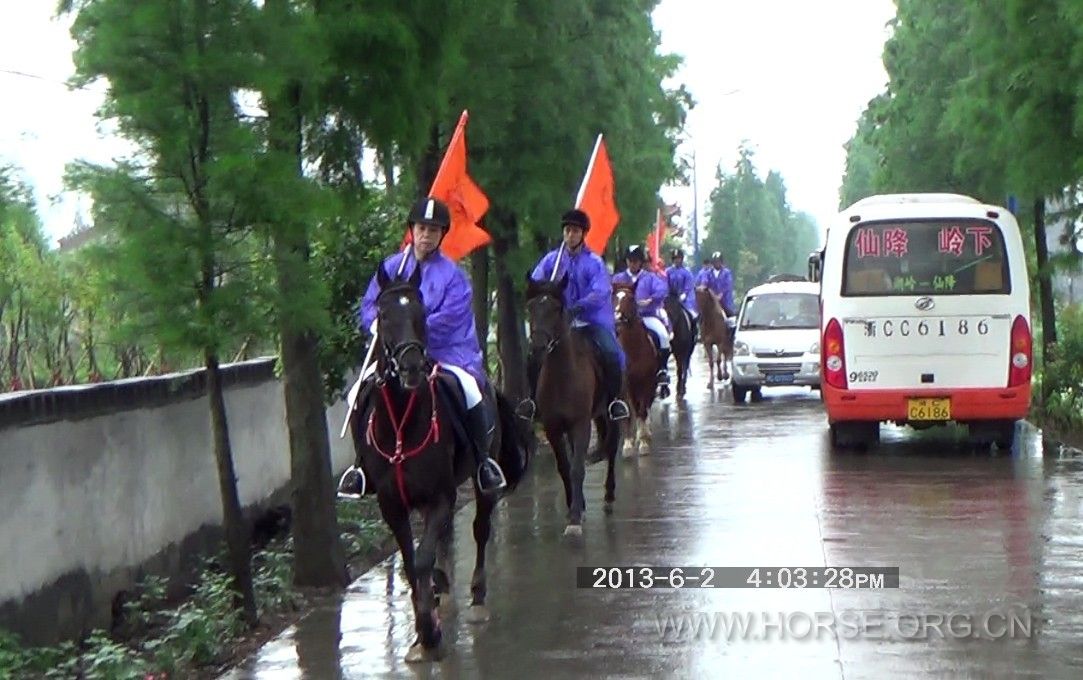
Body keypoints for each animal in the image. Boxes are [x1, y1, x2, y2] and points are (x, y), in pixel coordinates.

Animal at [346, 263, 528, 662]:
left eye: (421, 312)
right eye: (383, 315)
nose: (412, 367)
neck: (401, 424)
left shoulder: (441, 496)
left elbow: (423, 558)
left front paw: (429, 633)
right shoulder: (392, 504)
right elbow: (412, 562)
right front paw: (422, 631)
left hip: (481, 483)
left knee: (479, 530)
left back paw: (475, 599)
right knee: (445, 541)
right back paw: (442, 592)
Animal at [528, 275, 623, 537]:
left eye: (555, 309)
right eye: (531, 307)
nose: (538, 347)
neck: (562, 376)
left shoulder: (581, 424)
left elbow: (578, 467)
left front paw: (574, 519)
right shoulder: (553, 427)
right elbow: (564, 467)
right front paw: (575, 506)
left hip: (611, 413)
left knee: (612, 448)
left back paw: (609, 495)